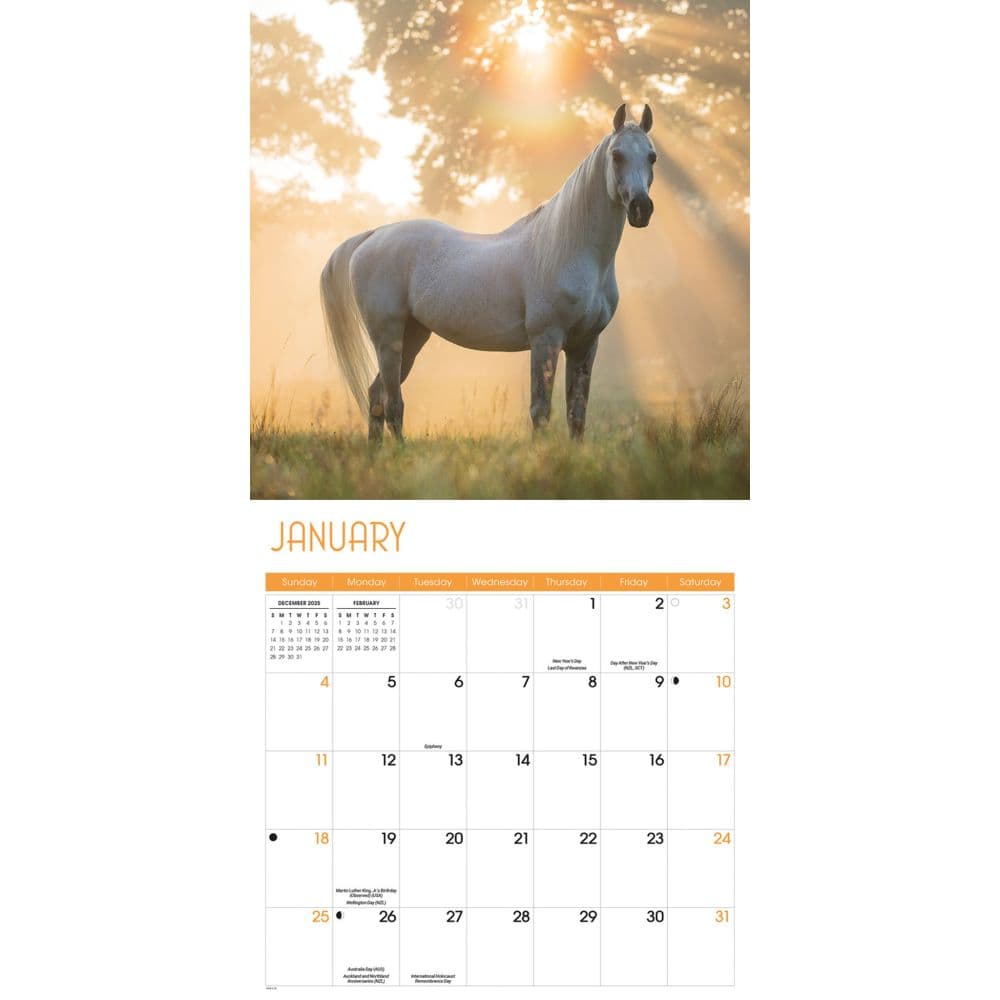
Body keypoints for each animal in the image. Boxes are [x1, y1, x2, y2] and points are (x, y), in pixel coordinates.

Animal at [320, 103, 656, 442]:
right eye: (616, 155)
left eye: (651, 156)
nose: (641, 208)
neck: (571, 249)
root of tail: (373, 236)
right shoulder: (545, 339)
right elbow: (540, 411)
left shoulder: (585, 344)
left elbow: (577, 415)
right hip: (388, 337)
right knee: (392, 404)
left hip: (412, 336)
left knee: (376, 397)